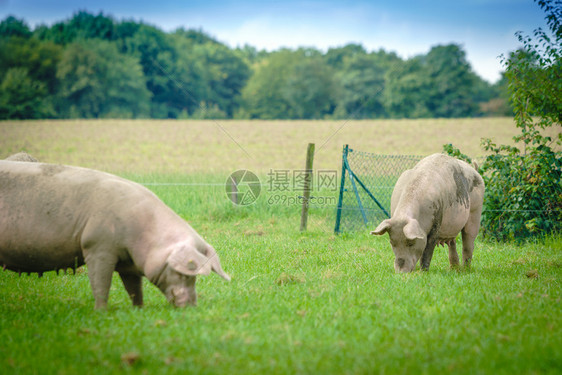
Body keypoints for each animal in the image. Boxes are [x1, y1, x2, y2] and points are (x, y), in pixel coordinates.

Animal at [0, 160, 230, 310]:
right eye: (186, 272)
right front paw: (101, 311)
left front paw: (139, 309)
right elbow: (101, 283)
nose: (191, 306)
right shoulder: (97, 246)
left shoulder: (129, 263)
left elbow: (134, 288)